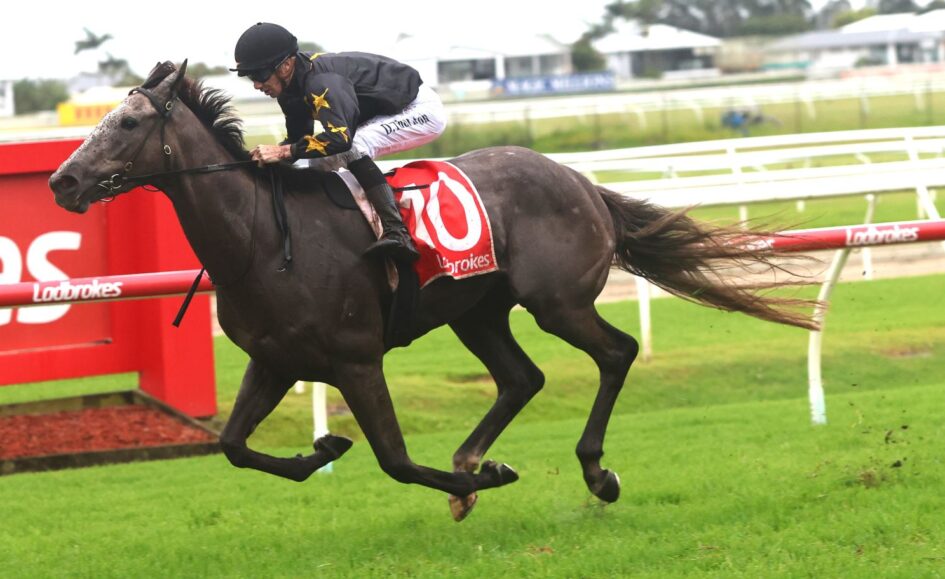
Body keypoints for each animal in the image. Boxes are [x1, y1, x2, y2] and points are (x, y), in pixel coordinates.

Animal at [49, 61, 818, 521]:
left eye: (127, 122)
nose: (62, 180)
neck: (262, 240)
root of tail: (576, 178)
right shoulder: (274, 360)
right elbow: (235, 446)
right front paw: (322, 449)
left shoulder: (356, 358)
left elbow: (393, 460)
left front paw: (488, 480)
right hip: (477, 312)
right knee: (522, 377)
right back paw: (473, 458)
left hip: (558, 301)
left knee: (616, 352)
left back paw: (592, 471)